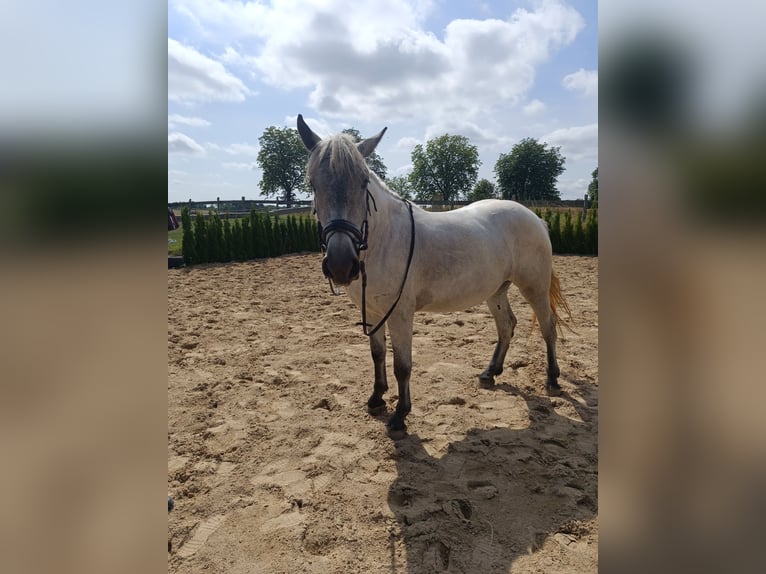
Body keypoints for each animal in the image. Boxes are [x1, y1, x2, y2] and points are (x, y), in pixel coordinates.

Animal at [297, 114, 570, 439]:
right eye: (313, 183)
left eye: (363, 182)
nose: (341, 264)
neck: (384, 239)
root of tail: (535, 217)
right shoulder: (373, 312)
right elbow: (377, 354)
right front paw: (376, 399)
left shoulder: (400, 313)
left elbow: (402, 364)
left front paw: (400, 415)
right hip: (496, 291)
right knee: (506, 326)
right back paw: (490, 373)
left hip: (534, 288)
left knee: (548, 328)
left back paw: (552, 380)